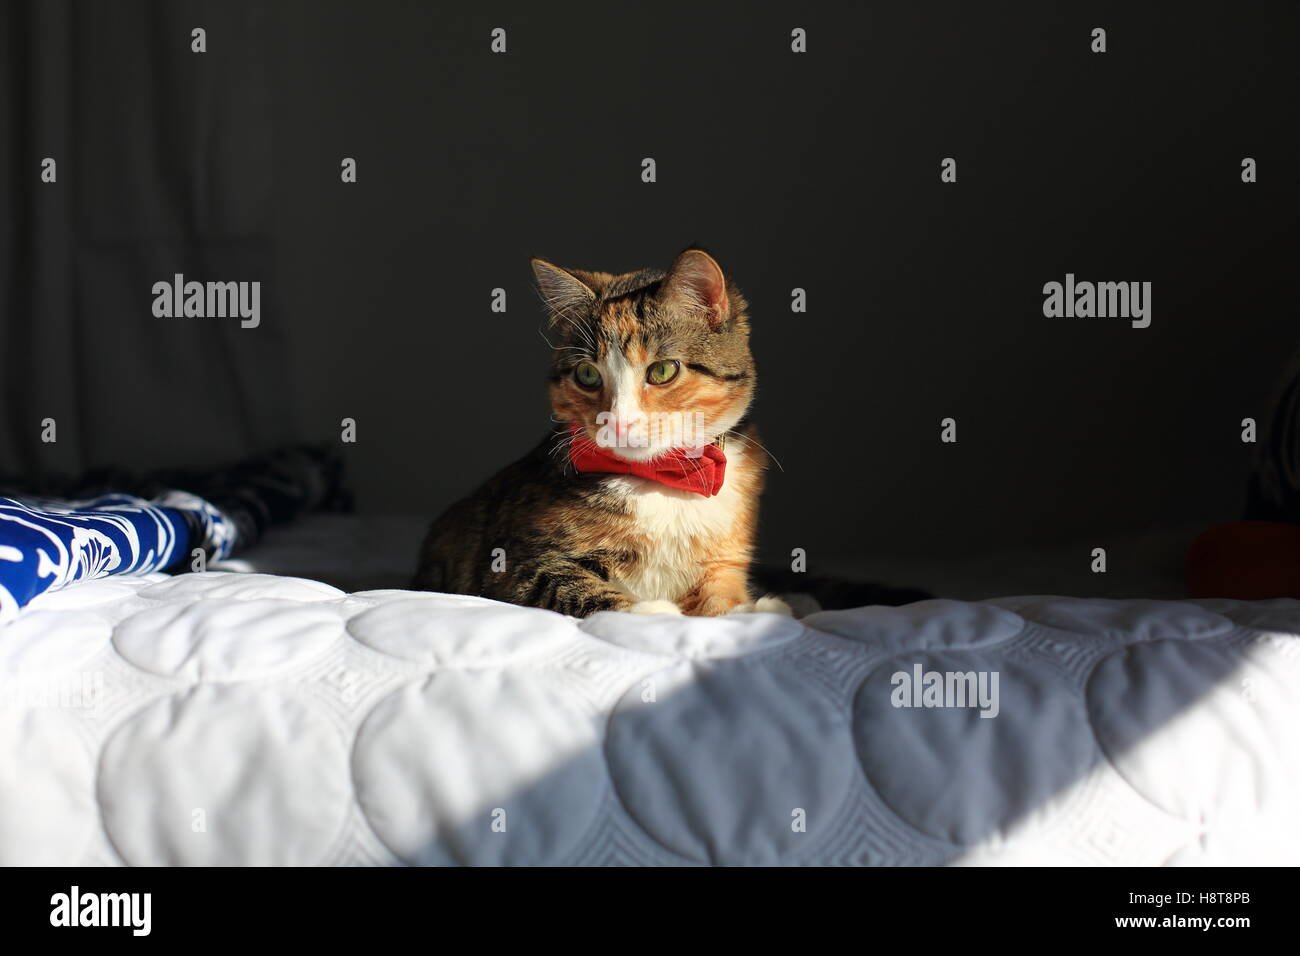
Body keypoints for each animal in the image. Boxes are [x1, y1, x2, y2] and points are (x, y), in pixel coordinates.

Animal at [410, 247, 790, 616]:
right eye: (587, 375)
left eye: (663, 370)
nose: (617, 421)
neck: (660, 480)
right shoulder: (511, 566)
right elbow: (568, 586)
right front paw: (654, 612)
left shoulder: (724, 559)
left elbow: (721, 600)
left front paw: (758, 610)